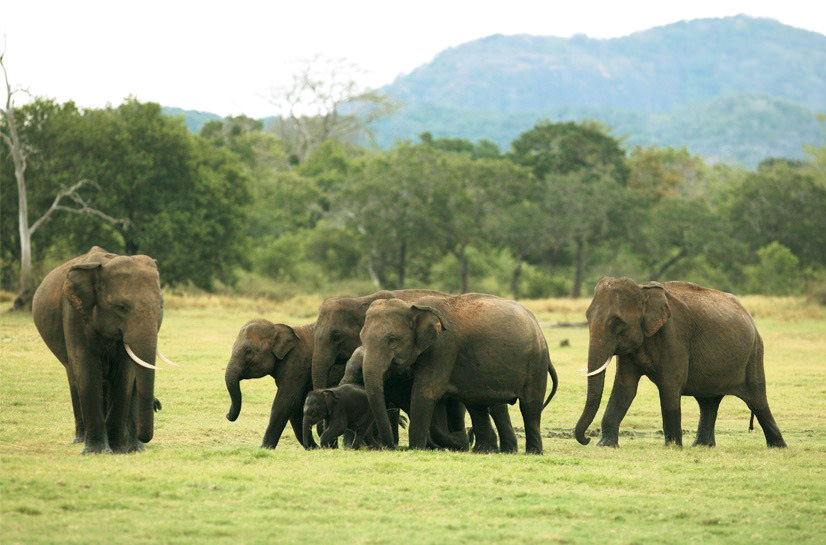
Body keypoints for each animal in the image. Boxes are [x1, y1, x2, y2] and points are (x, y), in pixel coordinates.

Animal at [31, 245, 175, 450]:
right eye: (121, 307)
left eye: (161, 306)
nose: (158, 405)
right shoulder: (74, 313)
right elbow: (86, 368)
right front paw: (97, 451)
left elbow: (125, 373)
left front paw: (118, 449)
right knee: (74, 377)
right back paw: (81, 440)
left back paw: (132, 447)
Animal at [222, 316, 344, 448]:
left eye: (248, 351)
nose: (227, 415)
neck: (277, 328)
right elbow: (297, 405)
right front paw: (313, 448)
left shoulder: (296, 364)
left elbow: (286, 401)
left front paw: (264, 448)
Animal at [358, 292, 552, 452]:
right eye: (361, 338)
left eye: (392, 340)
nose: (390, 447)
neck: (413, 305)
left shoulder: (443, 347)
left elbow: (426, 391)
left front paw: (417, 448)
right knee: (477, 403)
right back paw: (483, 450)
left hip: (536, 363)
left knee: (530, 406)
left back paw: (533, 452)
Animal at [572, 278, 784, 448]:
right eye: (587, 317)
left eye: (617, 322)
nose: (587, 439)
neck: (643, 290)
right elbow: (625, 388)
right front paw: (605, 446)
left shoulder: (674, 335)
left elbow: (669, 386)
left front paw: (673, 447)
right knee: (708, 402)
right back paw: (701, 446)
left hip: (754, 354)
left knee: (757, 400)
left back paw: (778, 447)